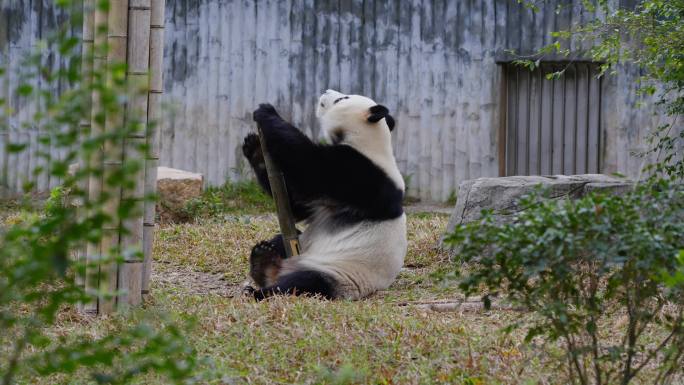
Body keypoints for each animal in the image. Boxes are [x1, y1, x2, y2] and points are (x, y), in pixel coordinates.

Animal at [242, 88, 406, 298]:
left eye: (342, 98)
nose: (327, 91)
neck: (371, 141)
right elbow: (297, 206)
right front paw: (254, 147)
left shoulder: (361, 174)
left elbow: (309, 164)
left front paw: (267, 112)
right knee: (282, 240)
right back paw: (263, 257)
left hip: (337, 273)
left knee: (303, 283)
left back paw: (261, 290)